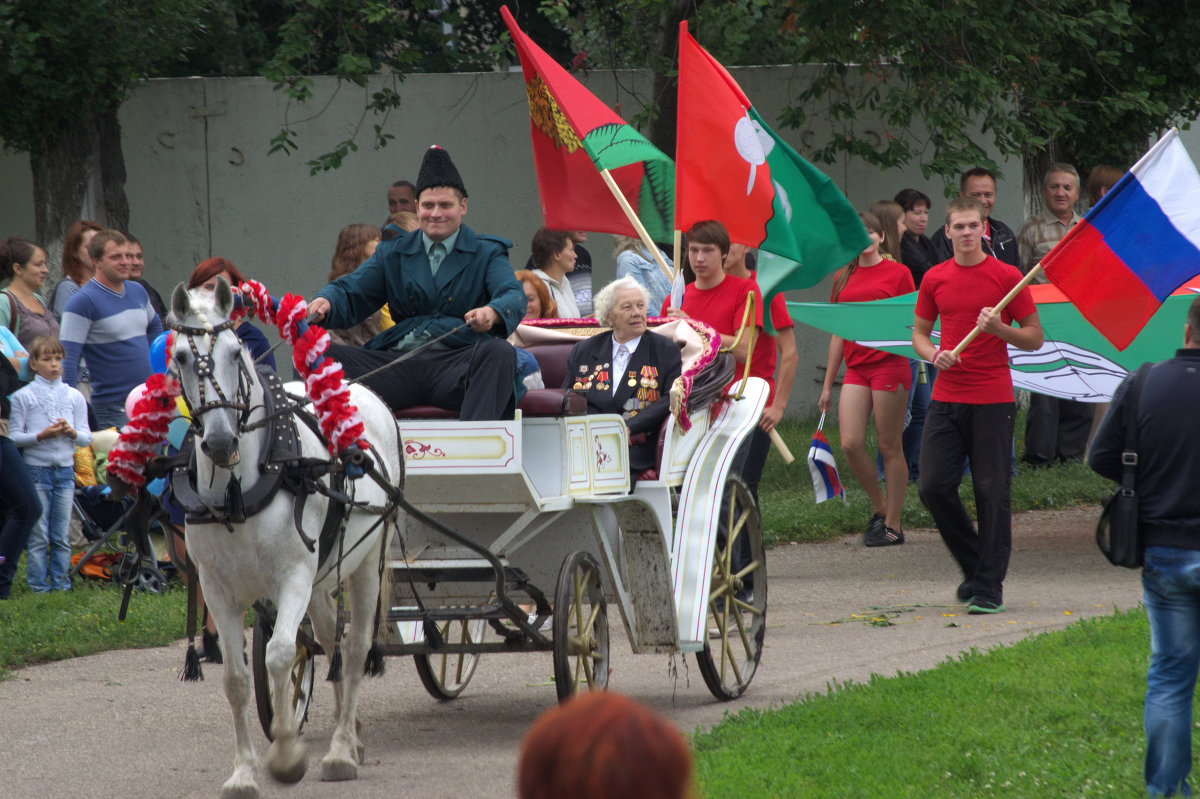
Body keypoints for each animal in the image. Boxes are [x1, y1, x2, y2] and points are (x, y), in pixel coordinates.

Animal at [169, 277, 403, 791]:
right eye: (179, 357)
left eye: (235, 352)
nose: (220, 442)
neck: (237, 492)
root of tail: (366, 393)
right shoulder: (217, 588)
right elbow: (237, 679)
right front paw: (243, 772)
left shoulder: (293, 576)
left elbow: (279, 654)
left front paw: (286, 751)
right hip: (323, 575)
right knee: (332, 640)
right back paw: (351, 731)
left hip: (366, 559)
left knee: (355, 648)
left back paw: (340, 751)